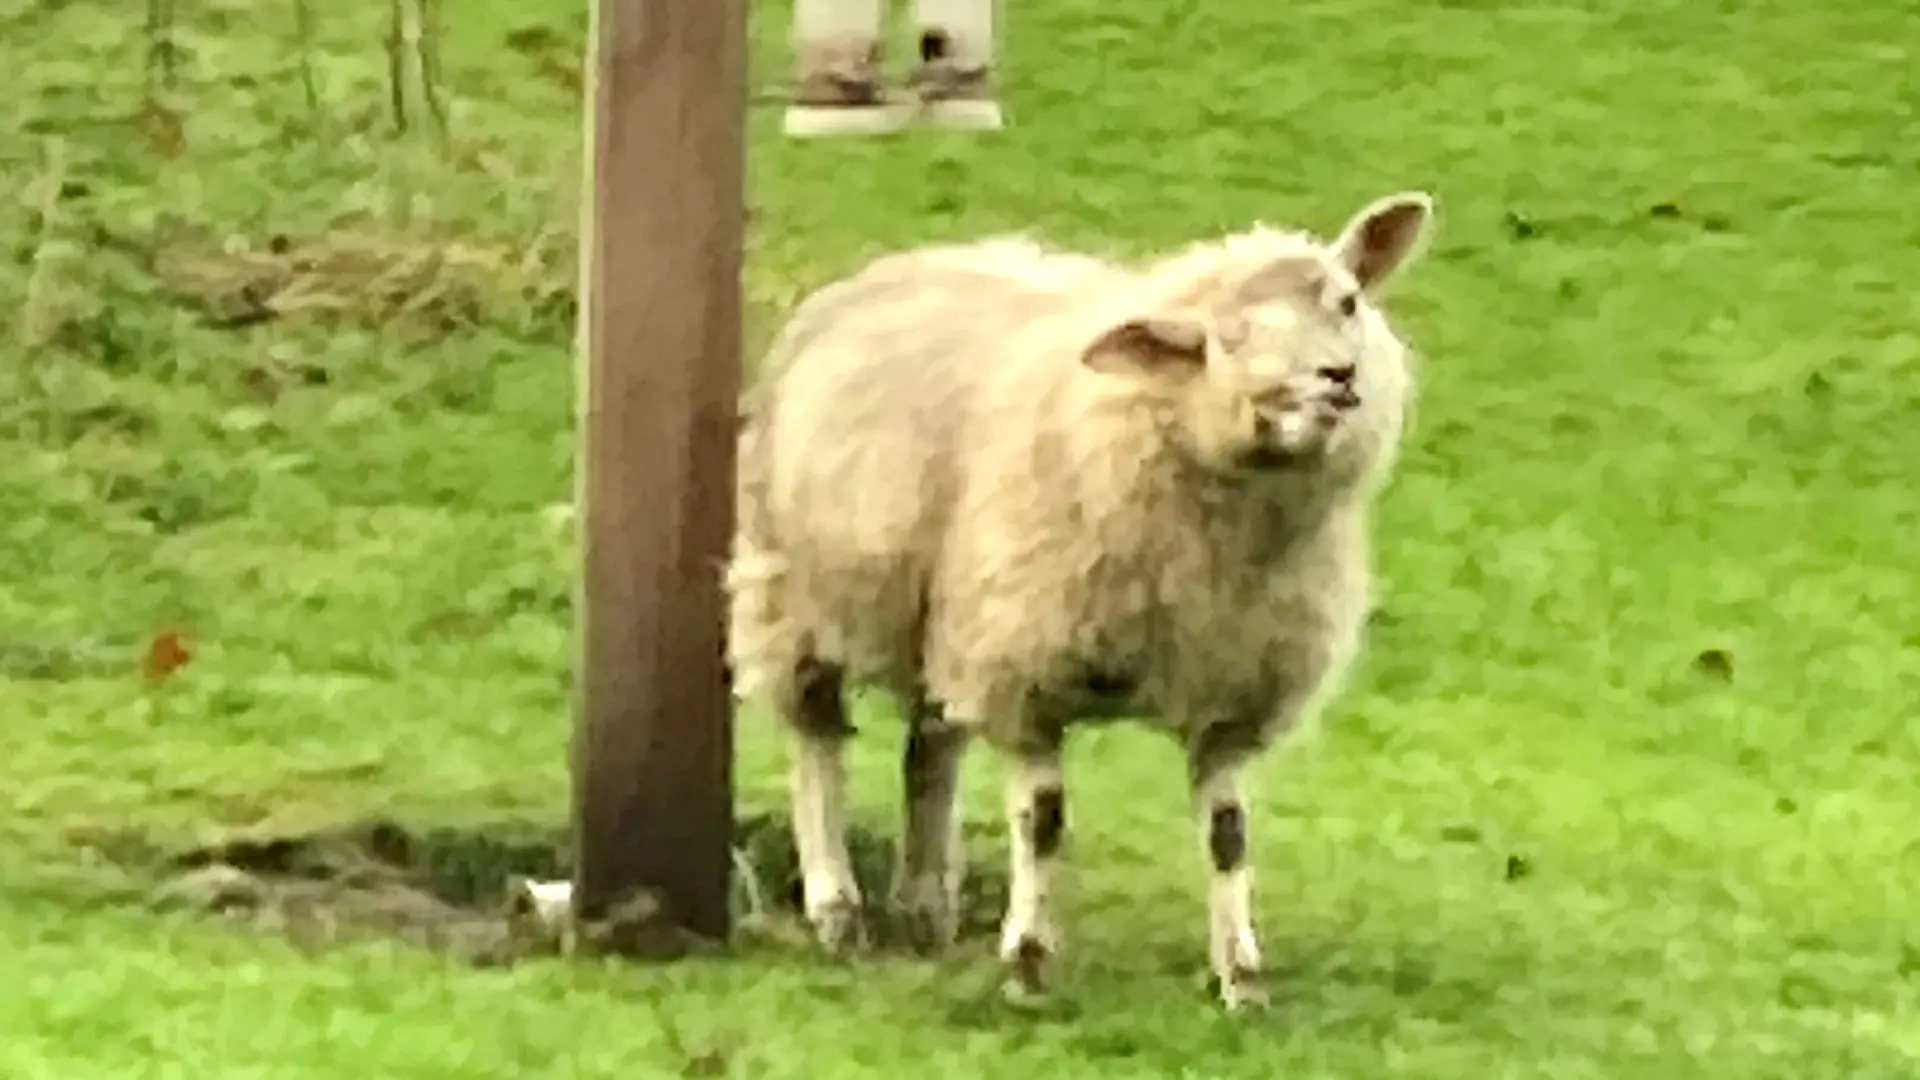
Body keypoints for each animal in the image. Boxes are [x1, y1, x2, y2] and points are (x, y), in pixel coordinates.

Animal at [727, 192, 1436, 1009]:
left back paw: (925, 904)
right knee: (817, 744)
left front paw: (1242, 975)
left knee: (929, 754)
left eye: (1347, 302)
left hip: (949, 615)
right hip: (791, 593)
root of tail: (905, 262)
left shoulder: (1234, 690)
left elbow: (1229, 834)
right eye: (1226, 338)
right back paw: (837, 906)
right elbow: (1042, 822)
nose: (1339, 377)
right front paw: (1029, 961)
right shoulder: (1025, 670)